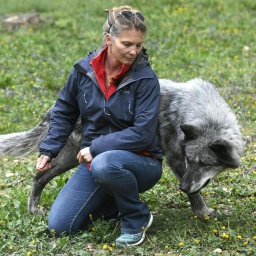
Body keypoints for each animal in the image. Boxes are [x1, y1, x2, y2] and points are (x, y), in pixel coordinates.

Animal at [0, 78, 244, 220]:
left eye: (203, 163)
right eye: (188, 160)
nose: (182, 187)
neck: (203, 111)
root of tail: (57, 108)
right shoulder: (176, 161)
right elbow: (197, 196)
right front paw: (203, 213)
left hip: (71, 158)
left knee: (39, 176)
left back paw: (34, 210)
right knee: (40, 177)